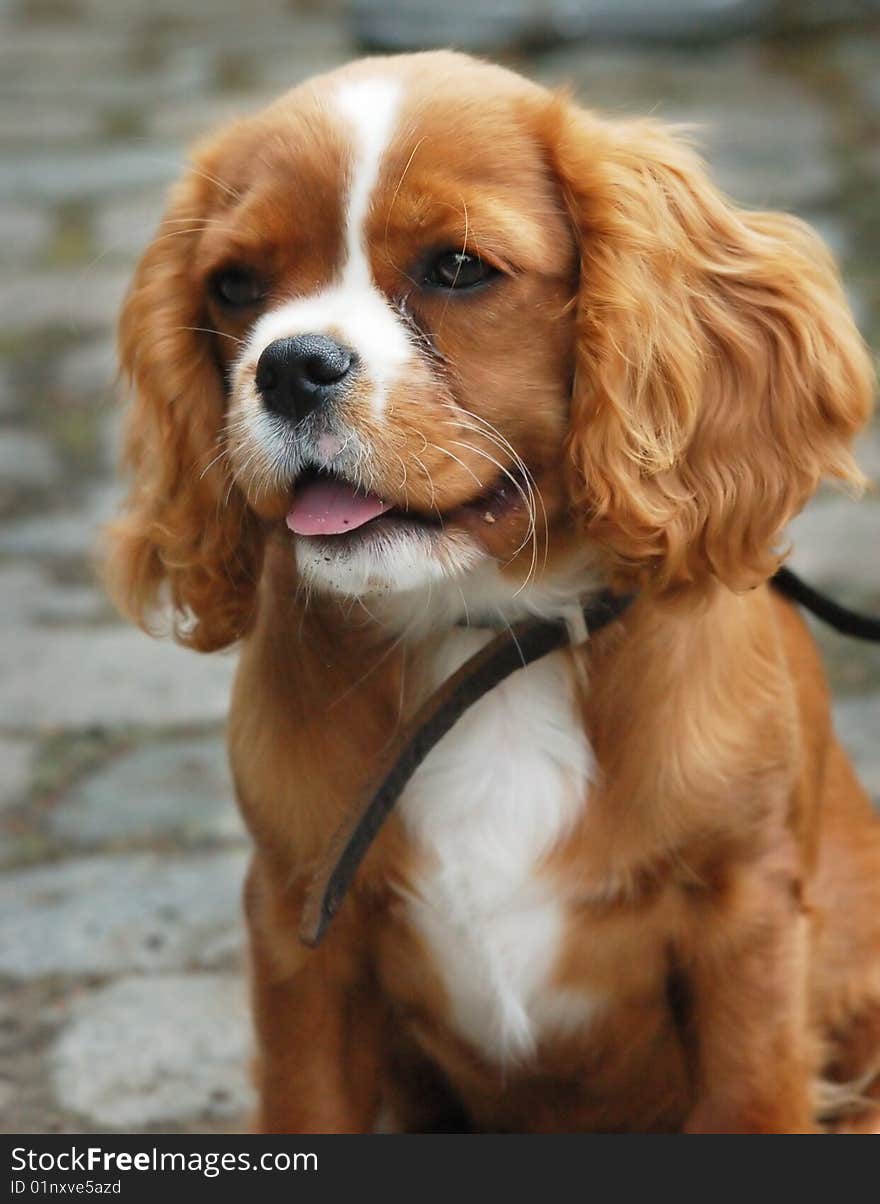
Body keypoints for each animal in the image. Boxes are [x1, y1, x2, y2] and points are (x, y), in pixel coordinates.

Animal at [106, 54, 876, 1126]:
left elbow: (753, 1096)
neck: (482, 628)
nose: (290, 366)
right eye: (235, 285)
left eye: (458, 268)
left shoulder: (746, 927)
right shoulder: (302, 934)